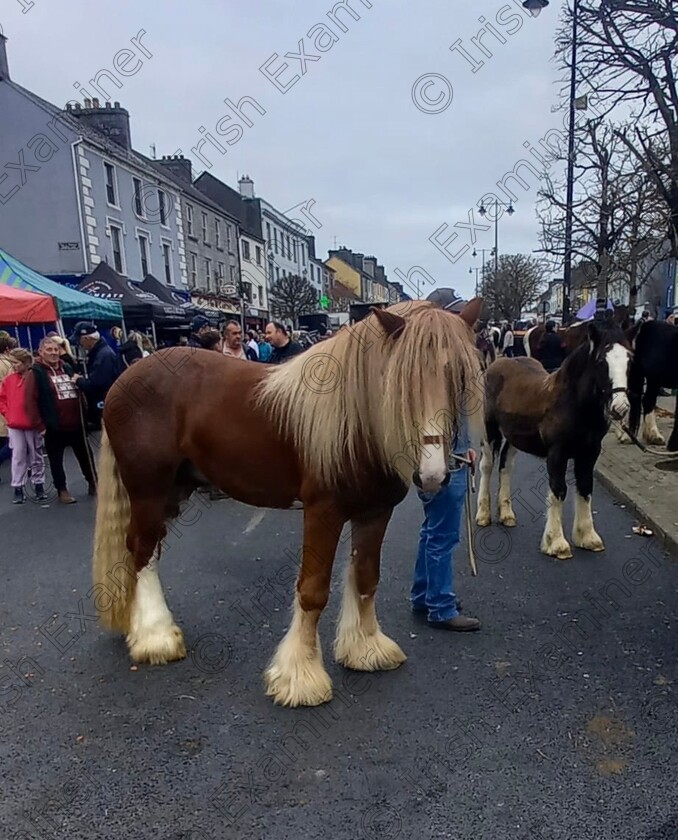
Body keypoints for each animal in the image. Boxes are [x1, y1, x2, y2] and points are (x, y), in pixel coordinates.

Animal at [90, 298, 486, 704]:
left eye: (459, 376)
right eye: (401, 382)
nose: (433, 475)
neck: (357, 424)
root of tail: (125, 378)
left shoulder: (375, 513)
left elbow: (366, 579)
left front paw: (366, 649)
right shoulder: (323, 512)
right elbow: (312, 592)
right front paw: (300, 677)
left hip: (173, 491)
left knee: (149, 550)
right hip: (148, 490)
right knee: (141, 550)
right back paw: (155, 637)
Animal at [478, 318, 632, 560]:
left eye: (629, 359)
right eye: (601, 361)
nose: (621, 407)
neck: (573, 403)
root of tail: (496, 364)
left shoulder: (589, 453)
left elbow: (585, 488)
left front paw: (587, 537)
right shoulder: (557, 454)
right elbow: (558, 490)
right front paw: (557, 543)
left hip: (513, 436)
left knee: (505, 465)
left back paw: (506, 514)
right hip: (490, 430)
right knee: (487, 464)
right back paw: (483, 515)